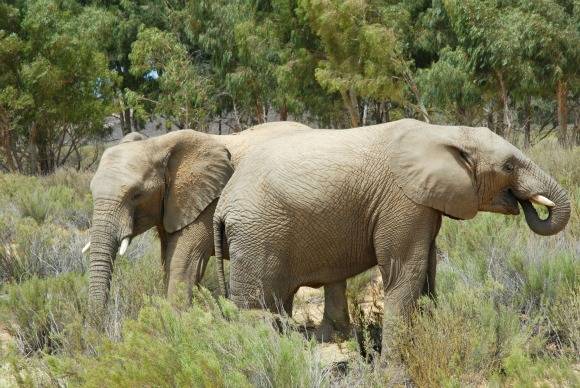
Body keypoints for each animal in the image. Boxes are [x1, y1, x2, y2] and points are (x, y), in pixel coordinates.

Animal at [84, 122, 352, 336]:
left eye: (136, 195)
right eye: (91, 192)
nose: (98, 327)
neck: (158, 144)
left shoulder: (207, 203)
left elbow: (183, 262)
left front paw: (174, 331)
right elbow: (168, 262)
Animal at [214, 119, 572, 354]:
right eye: (509, 166)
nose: (527, 203)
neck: (443, 131)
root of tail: (223, 204)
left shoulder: (423, 203)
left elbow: (427, 272)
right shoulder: (402, 202)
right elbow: (405, 274)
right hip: (257, 233)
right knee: (255, 311)